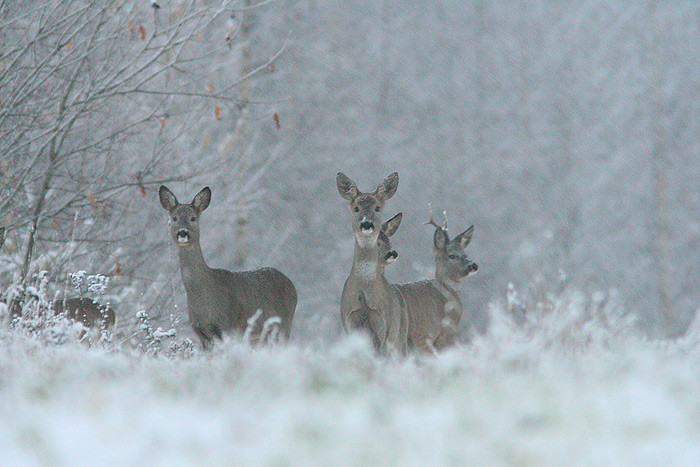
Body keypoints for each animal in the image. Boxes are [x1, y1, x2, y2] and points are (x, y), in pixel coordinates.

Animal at [159, 185, 297, 349]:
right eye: (174, 218)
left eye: (193, 218)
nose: (182, 232)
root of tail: (291, 284)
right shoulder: (202, 334)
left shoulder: (226, 326)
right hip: (260, 337)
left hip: (284, 324)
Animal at [336, 172, 407, 355]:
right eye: (356, 208)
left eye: (377, 207)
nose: (366, 223)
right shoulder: (349, 320)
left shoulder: (383, 324)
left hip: (399, 338)